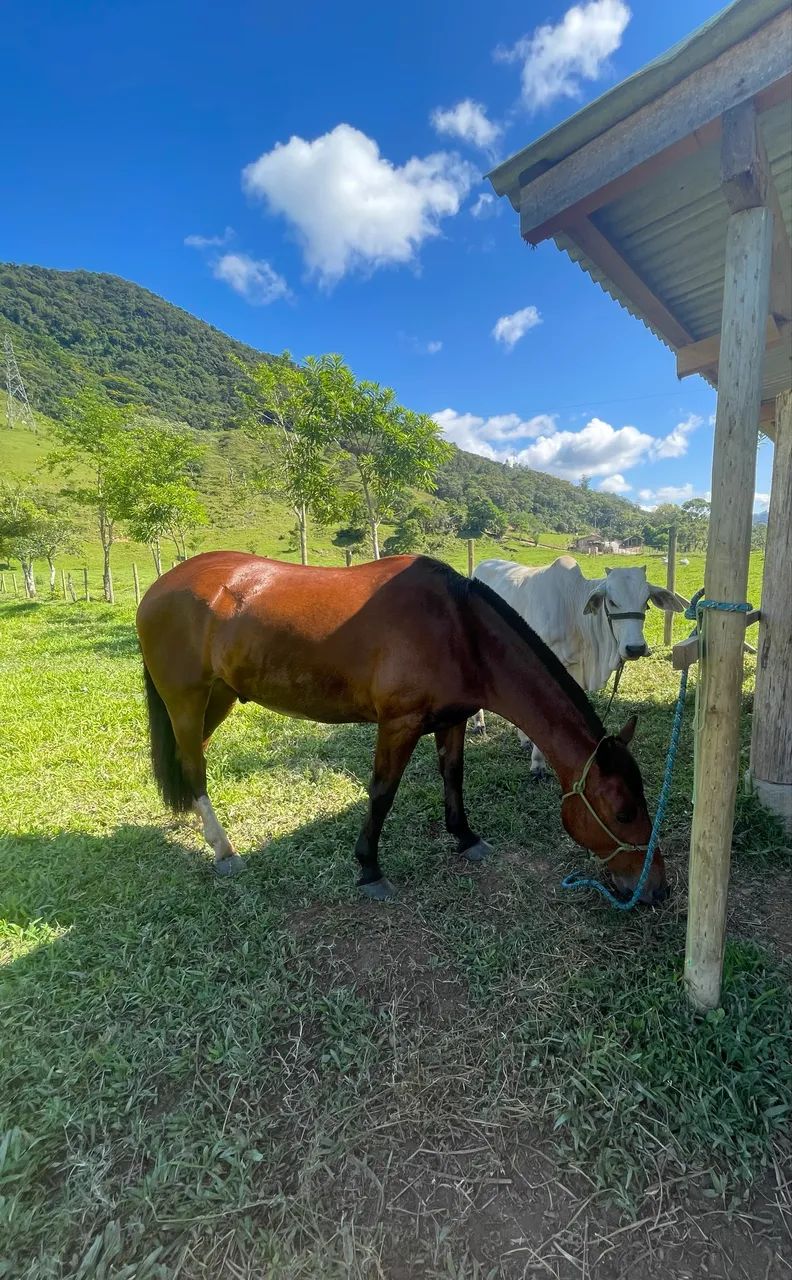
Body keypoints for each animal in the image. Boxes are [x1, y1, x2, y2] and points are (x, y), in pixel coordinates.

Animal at [136, 552, 668, 905]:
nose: (656, 888)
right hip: (186, 699)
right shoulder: (398, 724)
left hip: (220, 696)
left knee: (191, 756)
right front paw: (369, 868)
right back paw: (223, 848)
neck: (457, 628)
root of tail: (160, 587)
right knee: (194, 763)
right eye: (623, 812)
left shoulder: (451, 720)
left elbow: (453, 778)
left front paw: (466, 838)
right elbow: (382, 792)